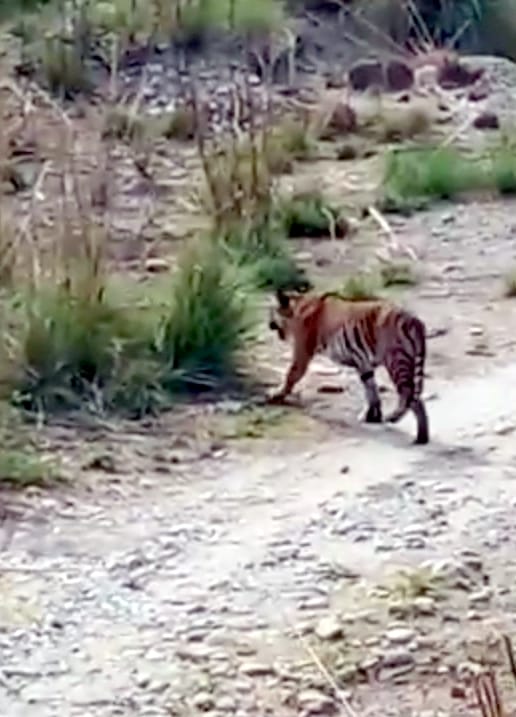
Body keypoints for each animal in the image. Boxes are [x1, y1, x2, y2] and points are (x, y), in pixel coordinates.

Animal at [267, 289, 429, 445]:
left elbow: (291, 374)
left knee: (408, 393)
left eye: (271, 311)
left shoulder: (302, 352)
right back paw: (421, 437)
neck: (297, 306)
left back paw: (400, 421)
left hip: (396, 360)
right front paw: (372, 415)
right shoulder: (363, 363)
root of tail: (414, 320)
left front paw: (276, 394)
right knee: (416, 399)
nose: (268, 324)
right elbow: (371, 389)